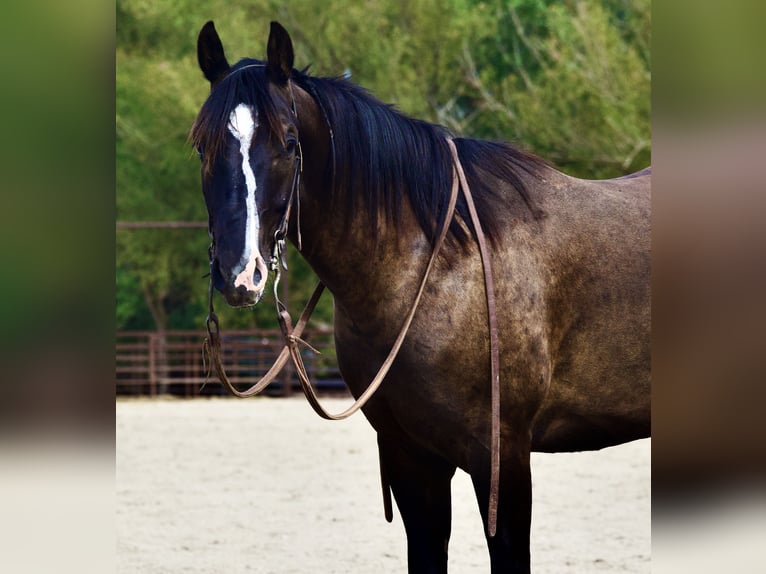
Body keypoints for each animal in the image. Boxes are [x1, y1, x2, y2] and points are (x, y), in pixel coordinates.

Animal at [191, 20, 650, 574]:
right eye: (202, 146)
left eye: (290, 142)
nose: (241, 273)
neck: (441, 260)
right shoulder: (412, 460)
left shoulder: (503, 460)